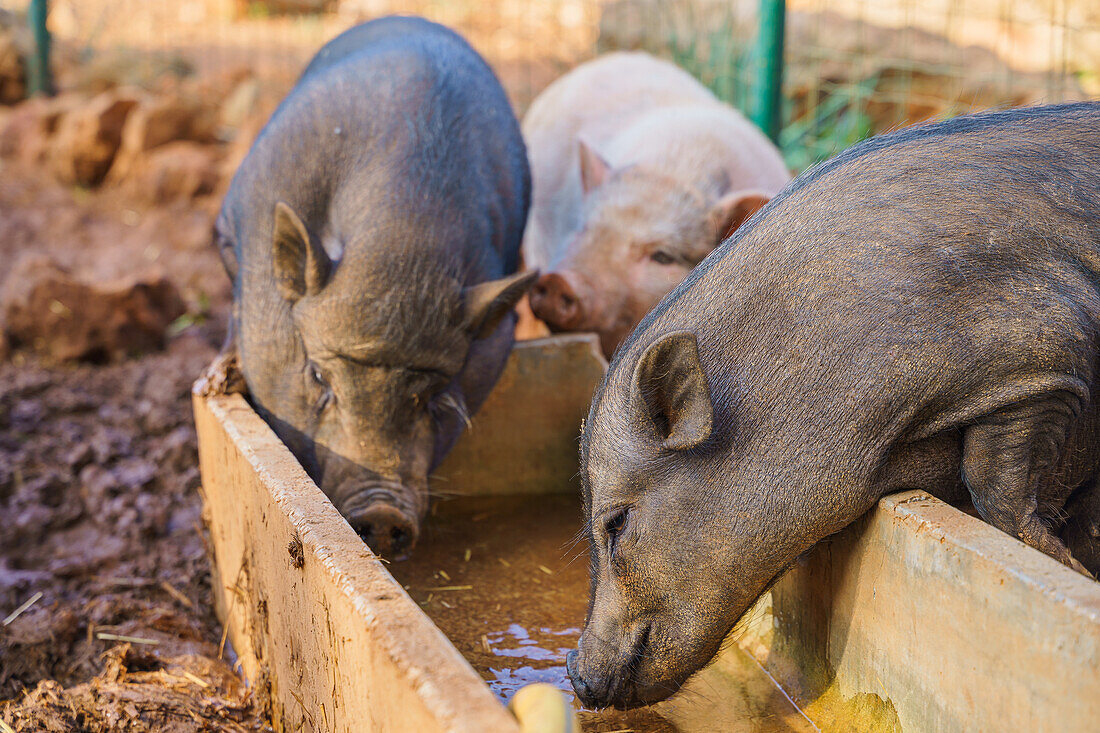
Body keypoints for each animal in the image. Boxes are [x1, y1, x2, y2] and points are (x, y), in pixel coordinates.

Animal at [211, 15, 536, 554]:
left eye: (433, 394)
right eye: (318, 377)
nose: (383, 514)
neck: (402, 243)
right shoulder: (230, 230)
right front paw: (219, 380)